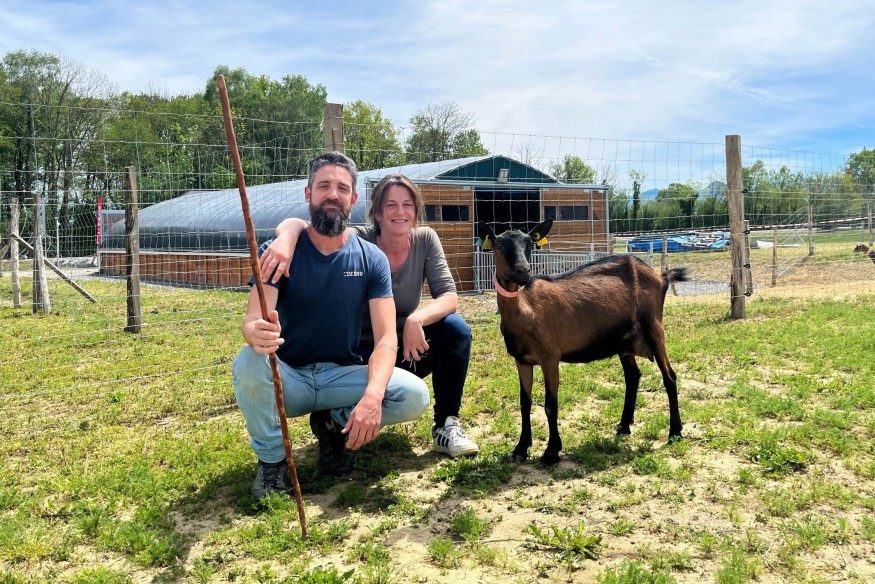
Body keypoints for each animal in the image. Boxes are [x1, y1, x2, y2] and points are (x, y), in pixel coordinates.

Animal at [479, 220, 688, 465]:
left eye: (529, 243)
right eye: (499, 245)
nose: (523, 271)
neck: (526, 309)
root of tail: (660, 277)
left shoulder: (550, 358)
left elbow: (550, 405)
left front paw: (551, 451)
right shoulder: (521, 360)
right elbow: (524, 403)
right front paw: (521, 448)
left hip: (654, 327)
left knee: (669, 376)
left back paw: (675, 432)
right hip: (624, 341)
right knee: (633, 376)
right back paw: (624, 426)